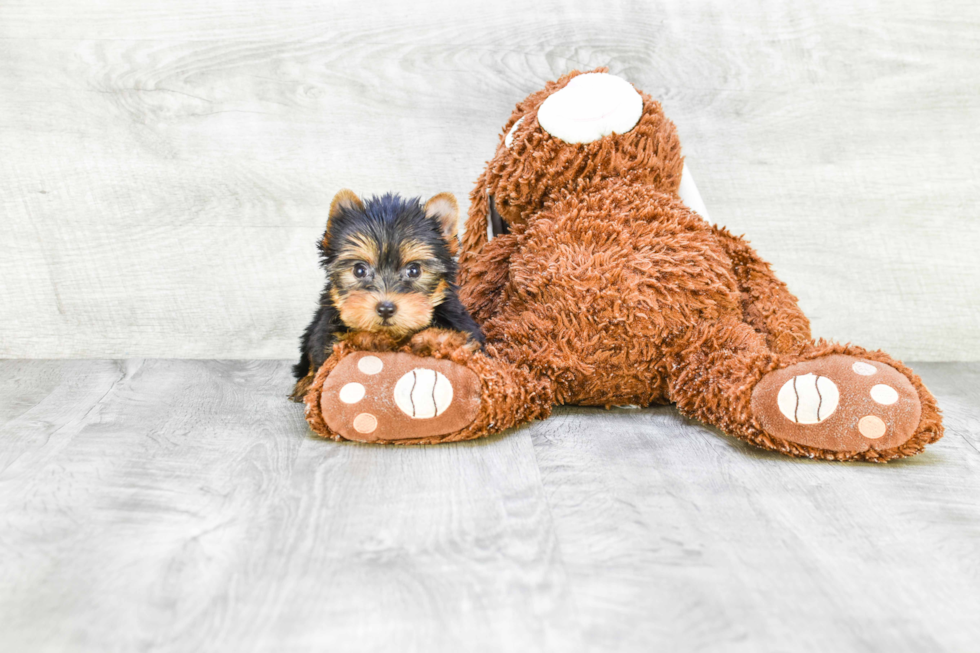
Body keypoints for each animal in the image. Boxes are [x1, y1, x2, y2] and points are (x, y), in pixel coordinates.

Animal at [290, 188, 484, 400]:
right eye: (359, 270)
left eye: (414, 270)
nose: (385, 309)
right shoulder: (325, 330)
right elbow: (323, 354)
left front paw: (433, 341)